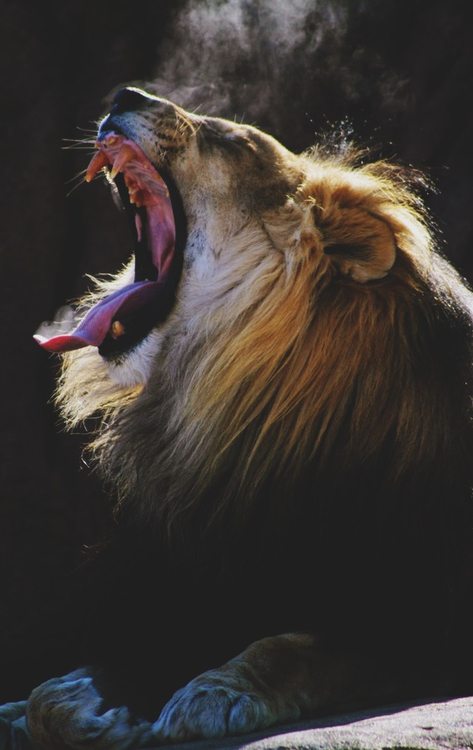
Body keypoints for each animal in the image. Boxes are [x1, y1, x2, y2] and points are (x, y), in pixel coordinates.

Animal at [25, 87, 472, 748]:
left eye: (232, 141)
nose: (124, 95)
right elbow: (49, 695)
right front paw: (80, 703)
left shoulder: (421, 619)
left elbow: (296, 648)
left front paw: (215, 693)